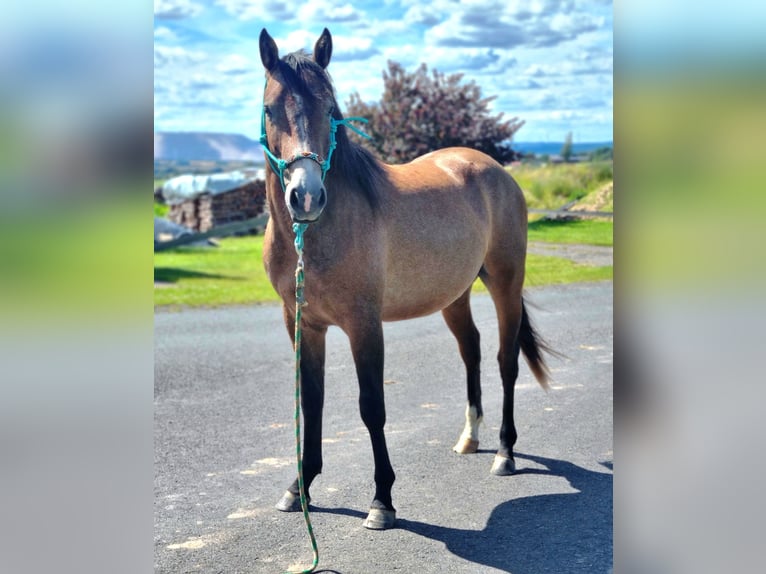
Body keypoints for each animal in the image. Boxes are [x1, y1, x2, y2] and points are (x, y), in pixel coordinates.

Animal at [260, 27, 556, 532]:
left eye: (331, 110)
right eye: (269, 110)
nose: (306, 196)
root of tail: (493, 170)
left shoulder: (364, 325)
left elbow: (372, 408)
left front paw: (382, 500)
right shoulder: (302, 324)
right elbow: (312, 402)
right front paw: (299, 487)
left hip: (505, 283)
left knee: (505, 360)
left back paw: (504, 453)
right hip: (455, 295)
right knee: (472, 351)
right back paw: (469, 438)